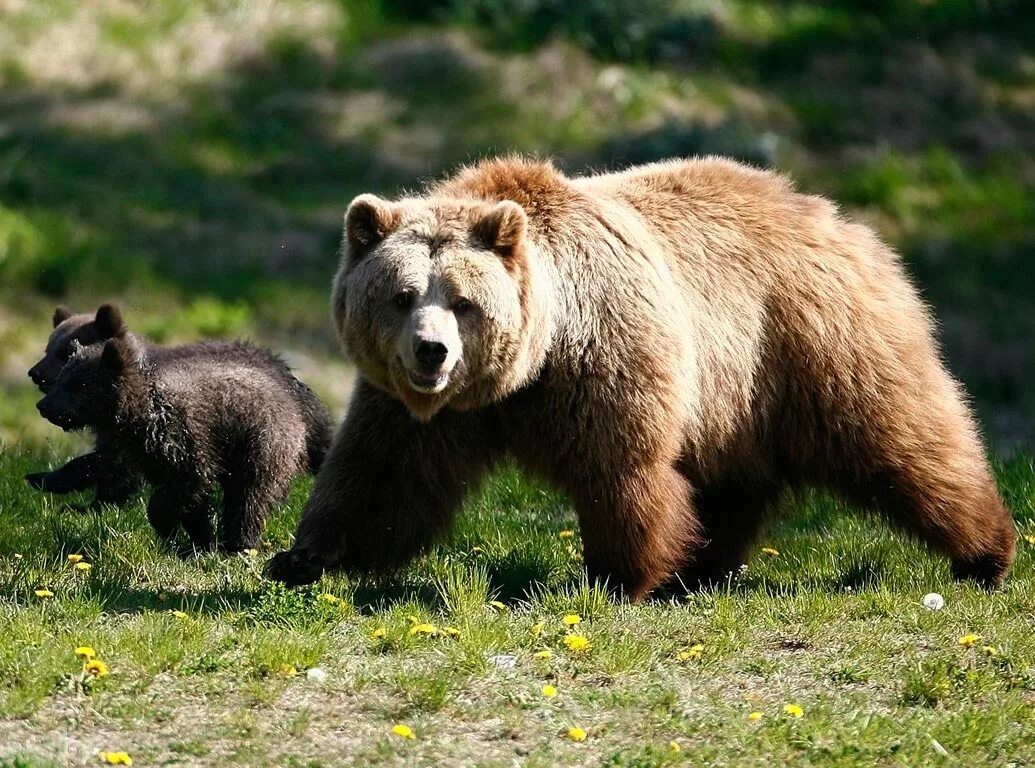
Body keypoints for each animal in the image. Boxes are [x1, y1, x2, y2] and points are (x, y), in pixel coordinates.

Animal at [37, 331, 331, 554]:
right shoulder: (147, 454)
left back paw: (239, 543)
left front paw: (168, 527)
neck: (138, 415)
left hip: (263, 440)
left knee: (251, 494)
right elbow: (191, 501)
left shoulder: (183, 438)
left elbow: (182, 487)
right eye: (61, 379)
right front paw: (199, 541)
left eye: (79, 384)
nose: (43, 406)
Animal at [262, 156, 1014, 600]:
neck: (526, 369)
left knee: (900, 437)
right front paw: (302, 556)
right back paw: (703, 565)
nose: (430, 353)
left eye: (464, 300)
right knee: (734, 483)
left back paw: (985, 553)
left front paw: (616, 576)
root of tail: (839, 218)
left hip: (811, 340)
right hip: (736, 394)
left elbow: (620, 470)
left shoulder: (602, 354)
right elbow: (381, 476)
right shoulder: (423, 411)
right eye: (401, 294)